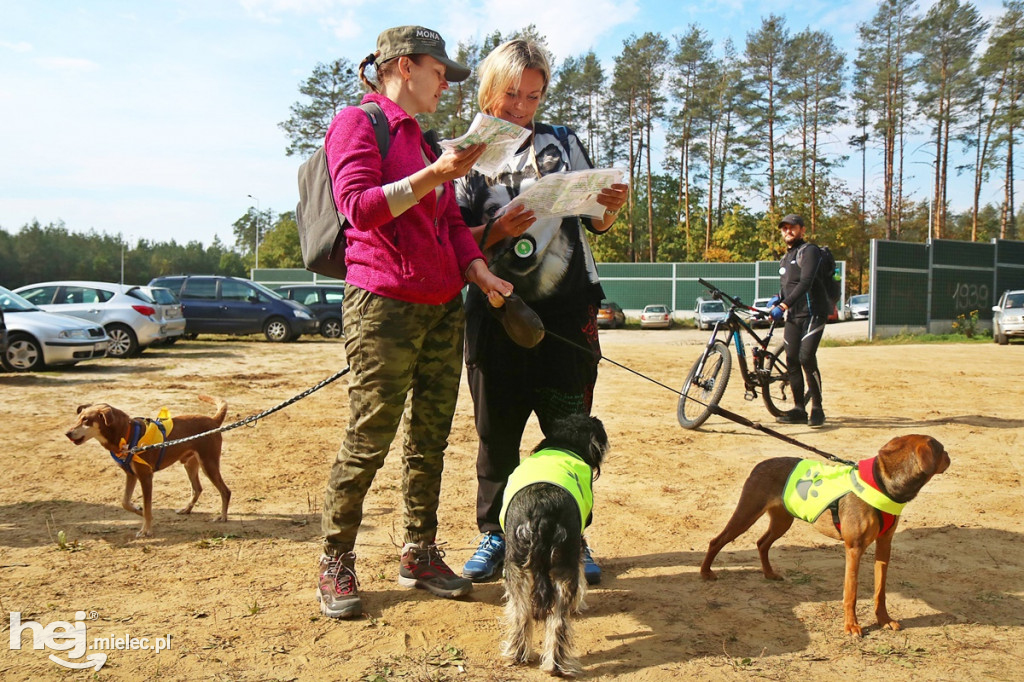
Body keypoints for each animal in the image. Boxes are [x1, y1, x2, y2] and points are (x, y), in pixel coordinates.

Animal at [501, 409, 606, 675]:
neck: (564, 444)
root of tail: (542, 513)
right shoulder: (579, 544)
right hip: (563, 567)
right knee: (558, 622)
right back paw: (555, 664)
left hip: (517, 567)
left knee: (523, 615)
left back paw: (519, 655)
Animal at [700, 432, 946, 634]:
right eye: (942, 449)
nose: (949, 455)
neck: (882, 484)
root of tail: (761, 464)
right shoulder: (854, 549)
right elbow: (851, 592)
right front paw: (851, 626)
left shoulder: (884, 545)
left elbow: (880, 590)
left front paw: (883, 619)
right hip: (747, 514)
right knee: (716, 541)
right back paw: (705, 572)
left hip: (782, 520)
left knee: (762, 543)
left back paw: (769, 573)